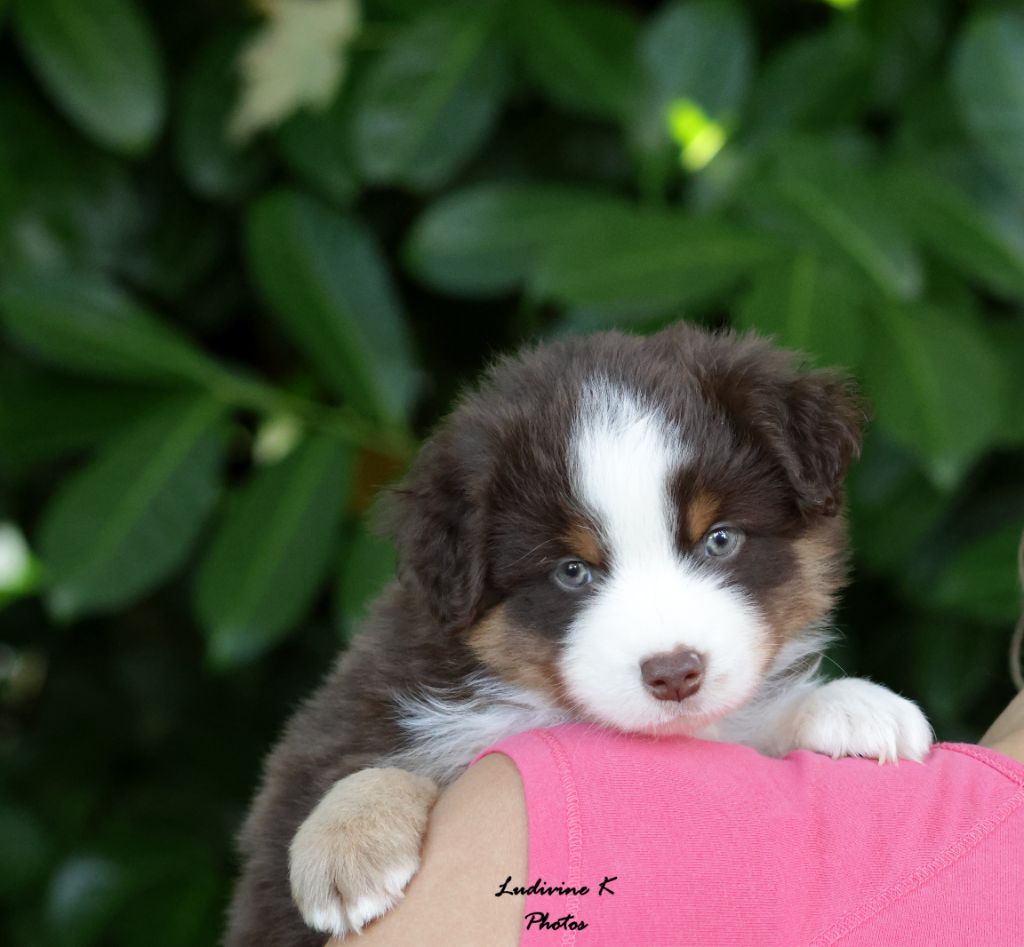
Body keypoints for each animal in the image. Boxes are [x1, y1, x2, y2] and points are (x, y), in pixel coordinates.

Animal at [224, 323, 933, 947]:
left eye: (720, 539)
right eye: (572, 571)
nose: (674, 673)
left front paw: (854, 706)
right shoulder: (365, 706)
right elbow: (366, 762)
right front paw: (345, 842)